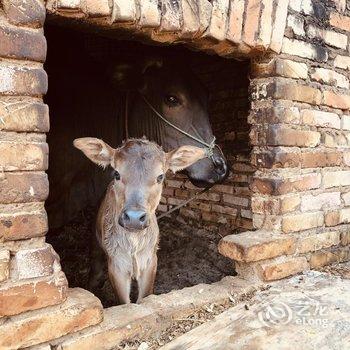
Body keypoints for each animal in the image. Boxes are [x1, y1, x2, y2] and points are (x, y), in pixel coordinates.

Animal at [74, 137, 205, 304]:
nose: (134, 218)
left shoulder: (150, 260)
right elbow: (125, 303)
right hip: (95, 244)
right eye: (116, 173)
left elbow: (145, 297)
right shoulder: (116, 265)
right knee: (95, 273)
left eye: (160, 176)